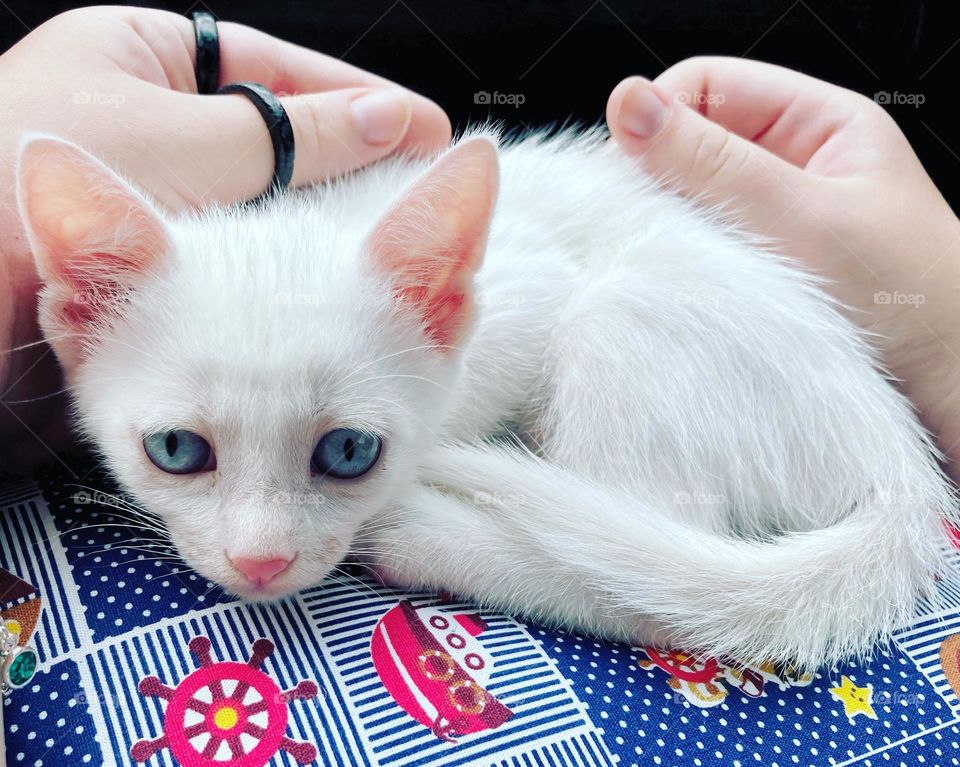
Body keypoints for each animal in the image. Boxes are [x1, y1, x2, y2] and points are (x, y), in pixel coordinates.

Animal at [16, 129, 960, 668]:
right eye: (176, 450)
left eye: (349, 451)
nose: (261, 563)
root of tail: (896, 456)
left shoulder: (530, 293)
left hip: (626, 311)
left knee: (647, 568)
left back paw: (429, 535)